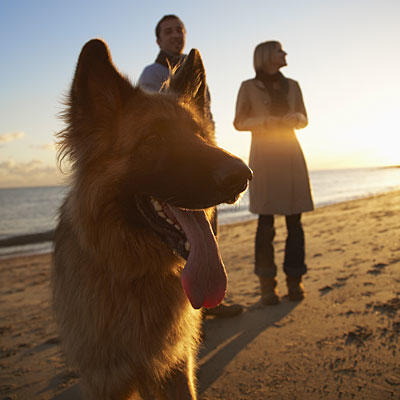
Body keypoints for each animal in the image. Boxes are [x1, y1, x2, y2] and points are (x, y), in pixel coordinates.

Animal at [52, 38, 252, 400]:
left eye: (199, 134)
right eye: (153, 139)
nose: (241, 177)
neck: (133, 274)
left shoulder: (175, 367)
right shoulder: (107, 381)